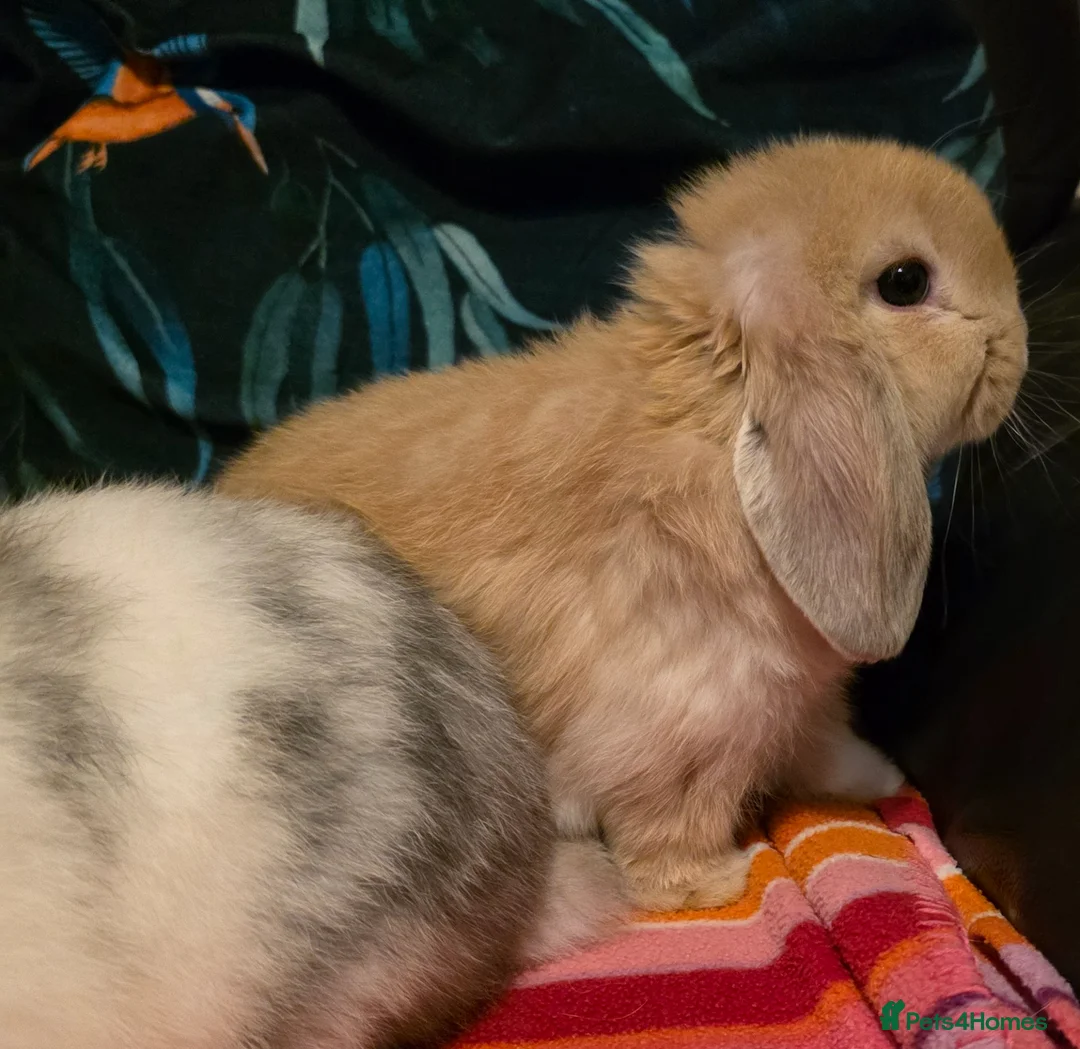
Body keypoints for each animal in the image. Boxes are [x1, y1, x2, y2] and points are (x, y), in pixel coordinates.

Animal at [218, 136, 1028, 912]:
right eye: (905, 282)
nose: (1018, 348)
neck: (717, 418)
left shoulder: (794, 706)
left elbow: (822, 745)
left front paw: (878, 776)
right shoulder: (681, 729)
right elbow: (671, 823)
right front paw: (709, 885)